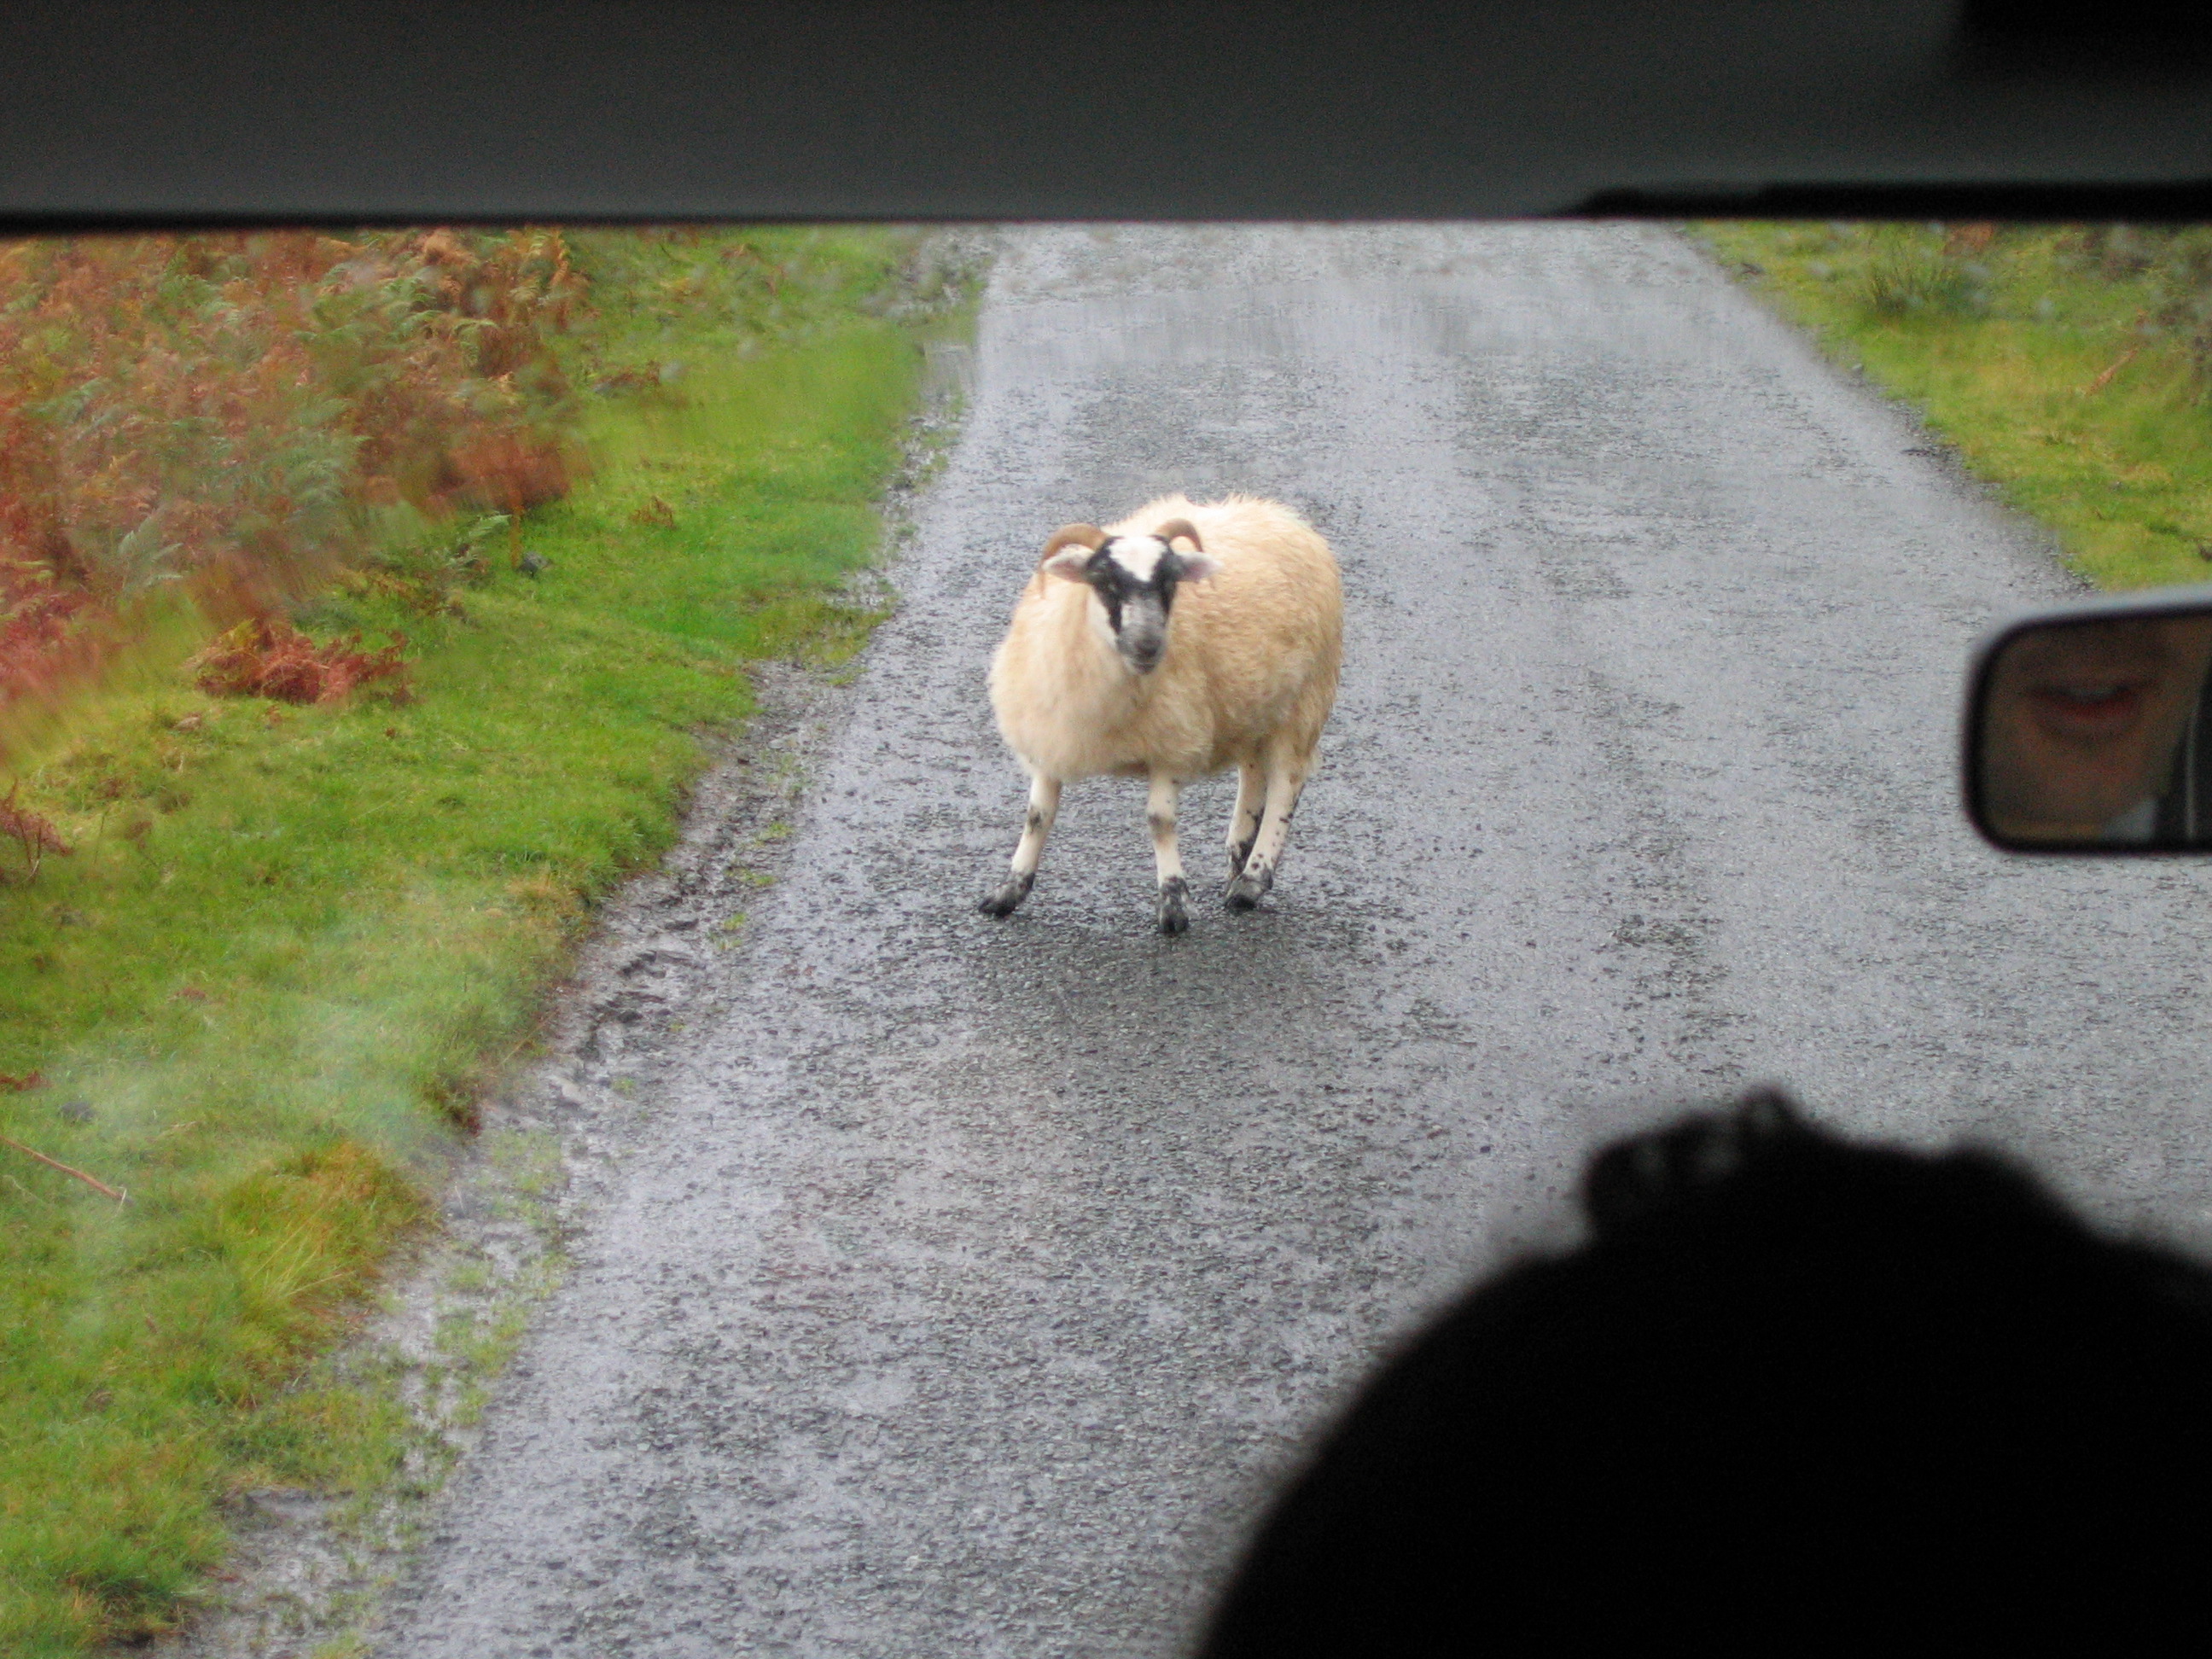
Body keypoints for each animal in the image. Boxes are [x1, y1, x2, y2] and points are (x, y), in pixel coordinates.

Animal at [977, 493, 1336, 938]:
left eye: (1170, 581)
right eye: (1104, 580)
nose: (1147, 644)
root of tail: (1275, 513)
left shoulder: (1172, 740)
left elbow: (1159, 820)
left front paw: (1174, 904)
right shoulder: (1052, 734)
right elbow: (1037, 818)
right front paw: (1008, 892)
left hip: (1303, 698)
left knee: (1286, 782)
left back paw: (1251, 882)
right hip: (1251, 705)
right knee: (1253, 773)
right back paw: (1237, 858)